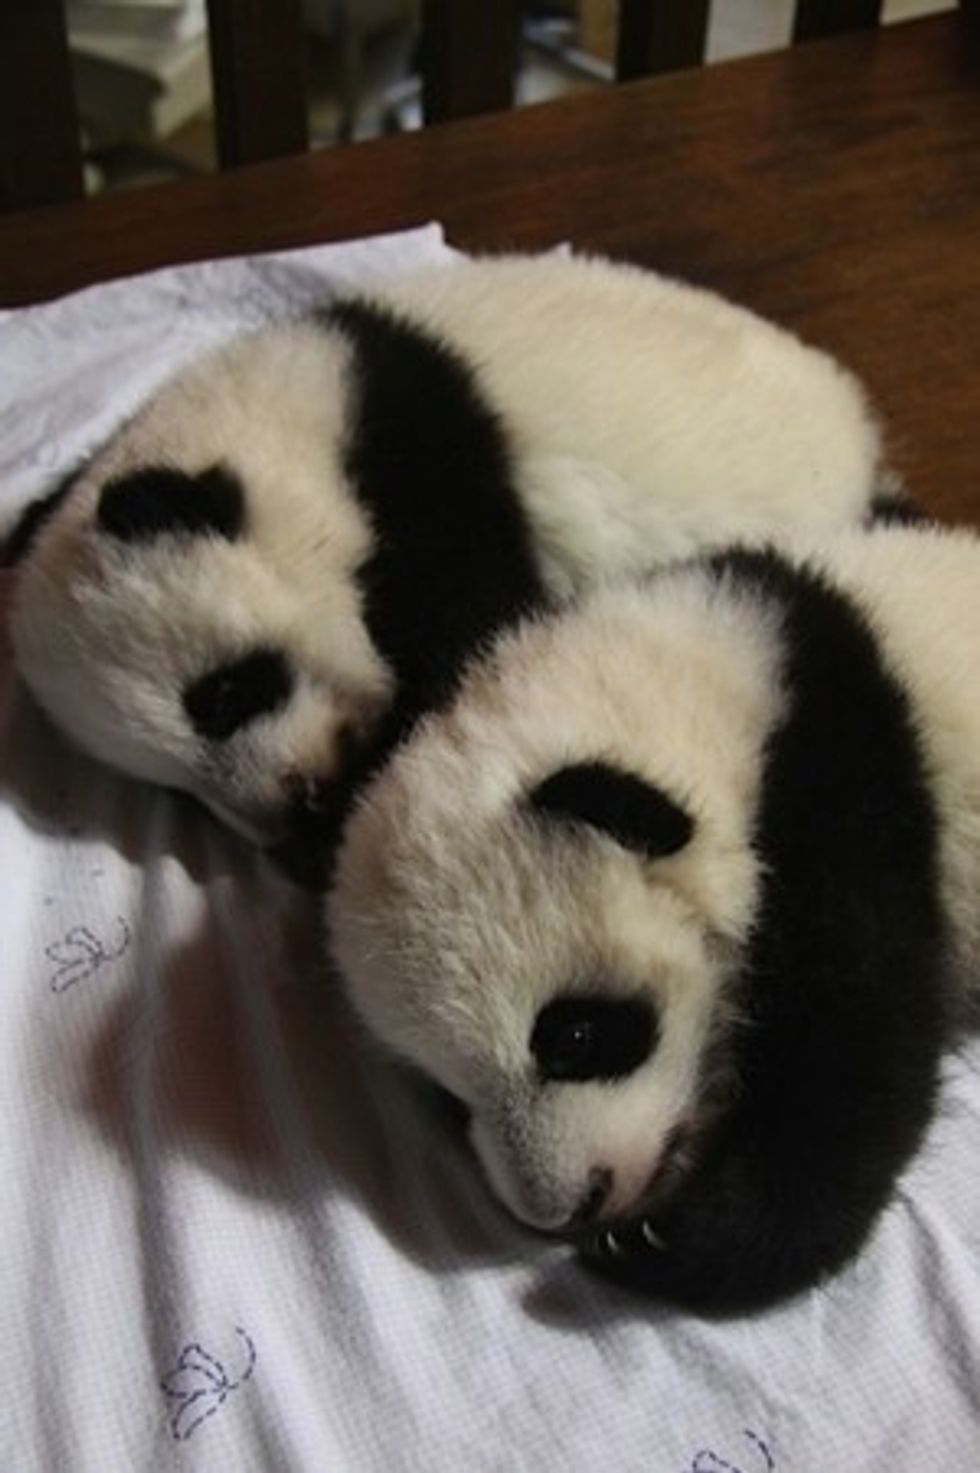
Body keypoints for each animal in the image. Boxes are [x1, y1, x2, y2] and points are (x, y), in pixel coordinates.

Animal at [3, 252, 903, 860]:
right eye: (175, 795)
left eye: (223, 694)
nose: (296, 804)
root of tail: (861, 434)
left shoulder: (428, 466)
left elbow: (470, 632)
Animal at [326, 520, 980, 1314]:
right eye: (449, 1096)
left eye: (573, 1035)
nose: (569, 1206)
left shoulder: (843, 784)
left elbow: (861, 1045)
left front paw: (672, 1244)